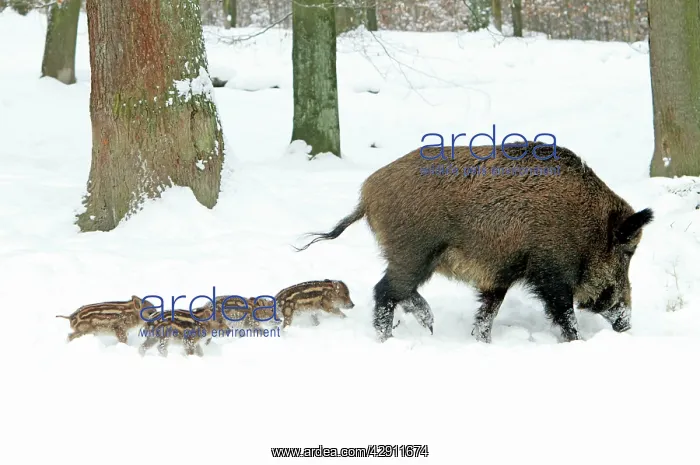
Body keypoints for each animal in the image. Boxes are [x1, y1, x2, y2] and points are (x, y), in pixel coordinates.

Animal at [295, 141, 653, 343]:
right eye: (628, 252)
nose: (626, 325)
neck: (588, 228)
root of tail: (368, 194)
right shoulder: (551, 273)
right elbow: (564, 314)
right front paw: (577, 342)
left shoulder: (501, 274)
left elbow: (487, 313)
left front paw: (481, 342)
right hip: (414, 252)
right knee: (384, 291)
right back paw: (391, 337)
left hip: (412, 257)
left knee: (398, 291)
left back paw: (428, 325)